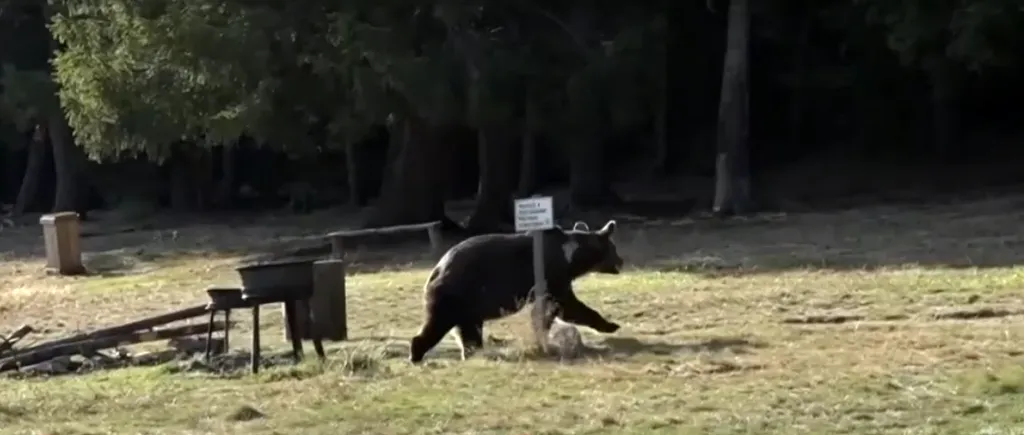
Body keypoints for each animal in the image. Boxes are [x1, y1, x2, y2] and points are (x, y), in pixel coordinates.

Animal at [409, 219, 622, 360]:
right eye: (614, 249)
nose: (621, 261)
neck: (571, 259)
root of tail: (436, 269)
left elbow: (549, 311)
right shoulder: (552, 276)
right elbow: (567, 306)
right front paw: (611, 325)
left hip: (468, 305)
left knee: (468, 330)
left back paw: (473, 352)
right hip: (455, 294)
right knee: (438, 323)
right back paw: (416, 353)